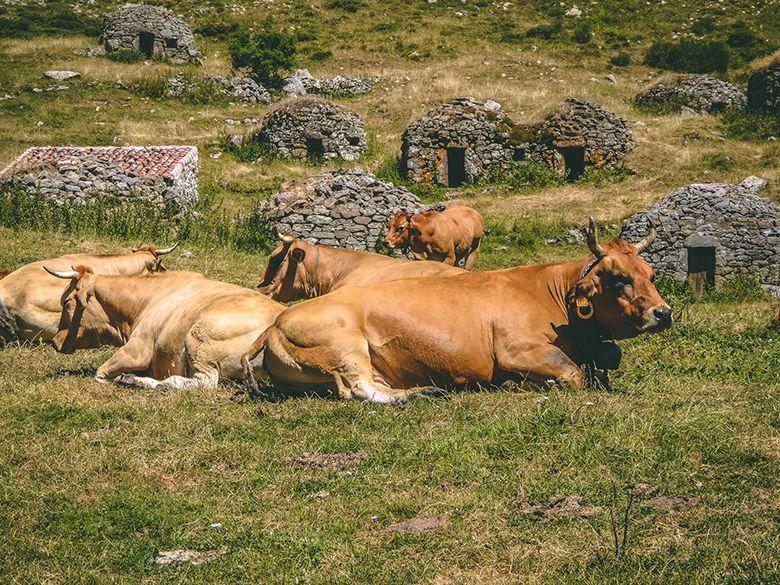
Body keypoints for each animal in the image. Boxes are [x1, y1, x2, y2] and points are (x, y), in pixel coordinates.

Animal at [46, 268, 284, 388]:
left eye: (66, 302)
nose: (55, 342)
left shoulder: (136, 350)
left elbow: (100, 374)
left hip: (197, 338)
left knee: (202, 382)